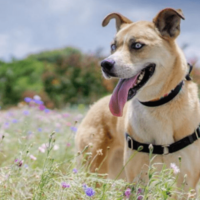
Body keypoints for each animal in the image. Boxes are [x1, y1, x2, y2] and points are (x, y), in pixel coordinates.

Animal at [74, 7, 200, 194]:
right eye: (113, 46)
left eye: (137, 45)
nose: (104, 64)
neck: (157, 105)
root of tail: (94, 105)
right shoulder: (138, 180)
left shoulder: (186, 184)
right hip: (93, 169)